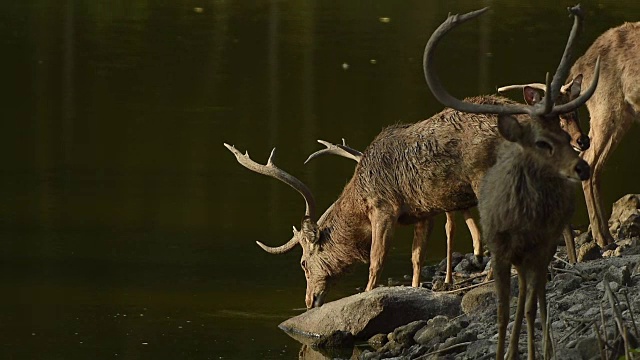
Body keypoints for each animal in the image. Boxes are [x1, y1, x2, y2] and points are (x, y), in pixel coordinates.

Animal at [424, 5, 600, 360]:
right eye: (541, 142)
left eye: (563, 136)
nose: (582, 165)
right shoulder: (501, 249)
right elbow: (504, 312)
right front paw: (504, 350)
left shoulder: (540, 248)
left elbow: (532, 306)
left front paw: (533, 350)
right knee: (522, 301)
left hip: (543, 249)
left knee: (538, 298)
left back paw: (543, 346)